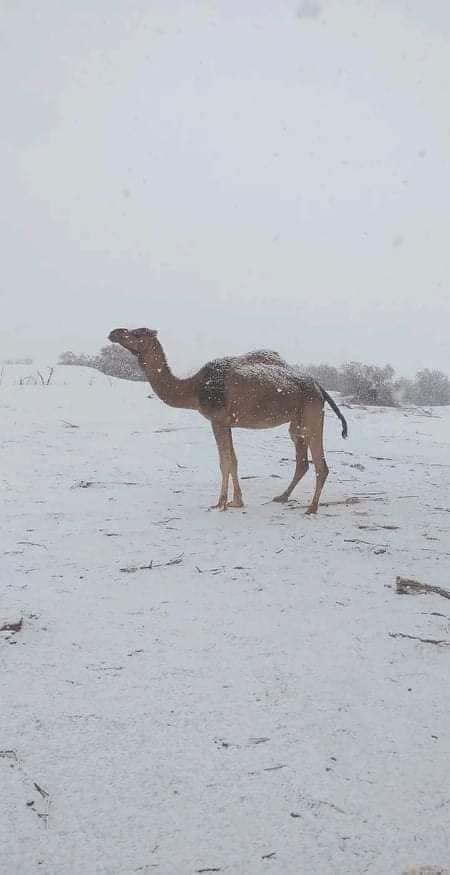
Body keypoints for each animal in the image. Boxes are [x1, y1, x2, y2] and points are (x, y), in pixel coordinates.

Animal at [108, 328, 348, 512]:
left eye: (137, 333)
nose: (114, 332)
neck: (194, 388)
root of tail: (319, 387)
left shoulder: (218, 421)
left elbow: (225, 462)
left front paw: (221, 503)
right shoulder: (227, 423)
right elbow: (233, 460)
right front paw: (236, 501)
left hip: (312, 415)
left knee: (321, 464)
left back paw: (311, 508)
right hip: (297, 422)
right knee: (302, 461)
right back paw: (282, 497)